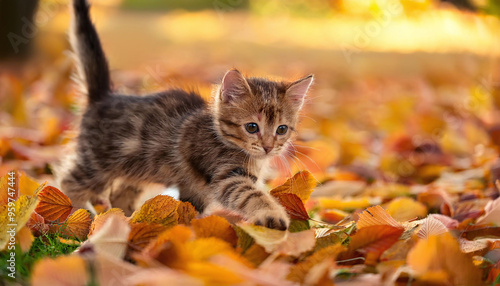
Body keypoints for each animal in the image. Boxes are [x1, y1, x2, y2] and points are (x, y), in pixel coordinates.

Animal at [57, 0, 312, 230]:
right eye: (252, 127)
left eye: (281, 129)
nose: (269, 147)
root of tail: (103, 96)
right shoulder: (225, 175)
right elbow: (250, 195)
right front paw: (271, 215)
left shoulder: (196, 188)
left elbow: (190, 208)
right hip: (96, 163)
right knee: (68, 181)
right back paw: (82, 215)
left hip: (137, 169)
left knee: (119, 194)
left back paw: (128, 219)